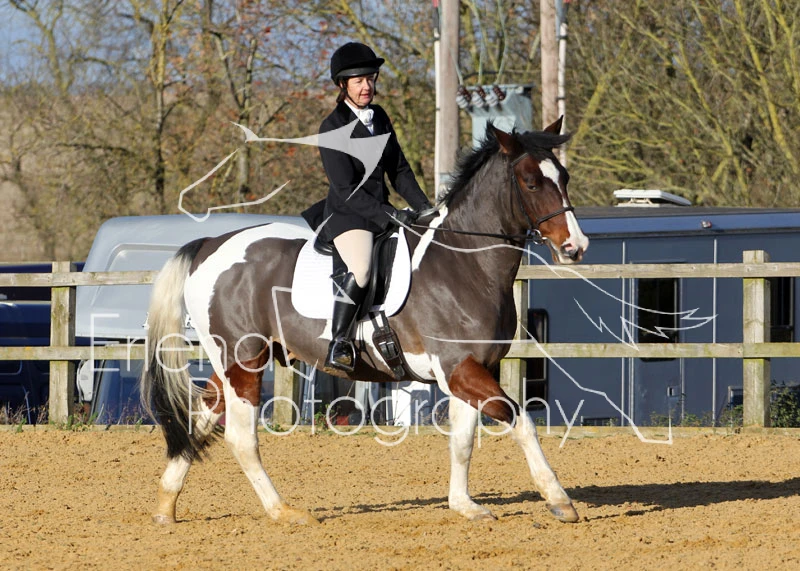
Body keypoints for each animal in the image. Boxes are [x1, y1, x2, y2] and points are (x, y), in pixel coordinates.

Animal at [139, 118, 590, 525]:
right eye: (531, 182)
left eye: (564, 177)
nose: (575, 247)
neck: (463, 261)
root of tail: (209, 246)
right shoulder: (459, 370)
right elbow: (522, 421)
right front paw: (559, 500)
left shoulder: (472, 370)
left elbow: (463, 441)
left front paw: (464, 505)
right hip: (244, 360)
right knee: (241, 436)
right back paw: (284, 512)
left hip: (233, 361)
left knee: (203, 415)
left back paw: (165, 506)